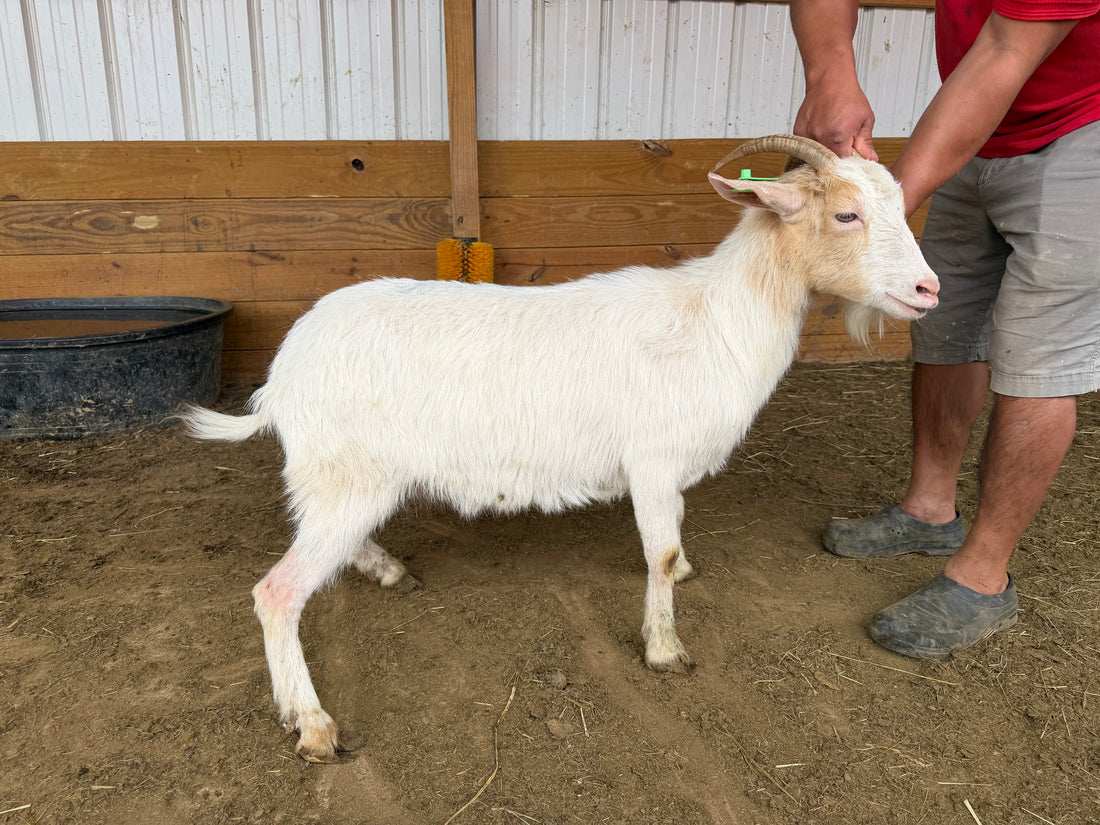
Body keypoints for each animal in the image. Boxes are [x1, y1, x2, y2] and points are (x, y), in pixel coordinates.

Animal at [184, 135, 939, 762]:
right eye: (846, 215)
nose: (928, 288)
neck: (715, 318)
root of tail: (282, 377)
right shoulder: (653, 458)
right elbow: (661, 555)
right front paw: (664, 648)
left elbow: (672, 546)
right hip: (346, 475)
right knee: (277, 591)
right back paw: (312, 724)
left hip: (350, 478)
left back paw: (384, 570)